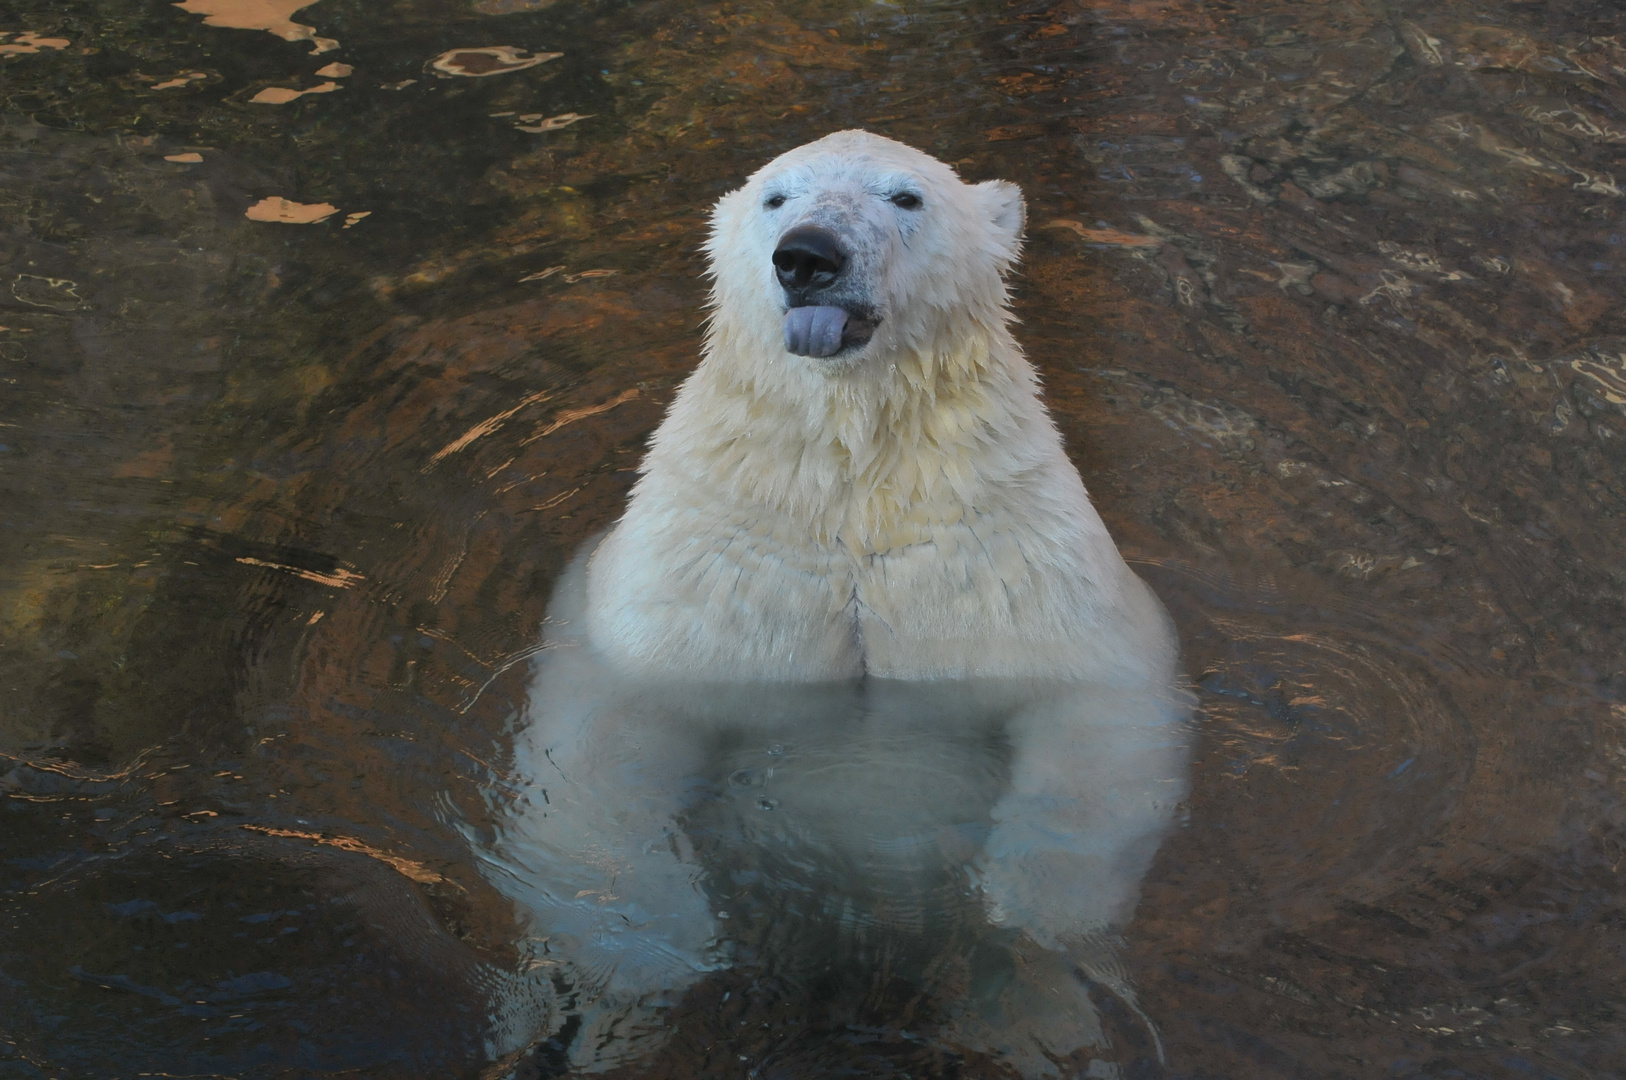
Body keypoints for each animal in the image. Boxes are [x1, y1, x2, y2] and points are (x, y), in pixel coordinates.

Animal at [474, 135, 1190, 1080]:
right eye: (776, 198)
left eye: (906, 196)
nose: (809, 256)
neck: (851, 477)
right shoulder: (701, 573)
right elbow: (604, 738)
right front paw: (655, 943)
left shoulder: (1008, 559)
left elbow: (1094, 706)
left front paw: (1026, 898)